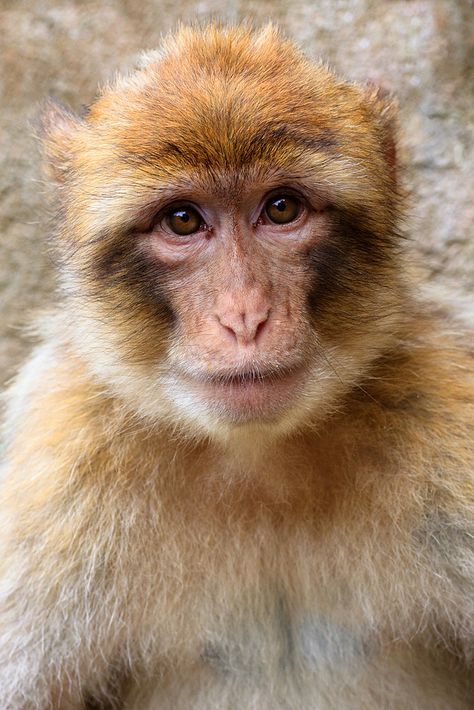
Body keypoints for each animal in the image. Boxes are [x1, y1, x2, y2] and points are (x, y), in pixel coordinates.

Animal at [0, 22, 474, 710]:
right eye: (182, 220)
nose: (245, 316)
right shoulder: (55, 465)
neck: (258, 458)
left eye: (281, 209)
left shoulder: (447, 406)